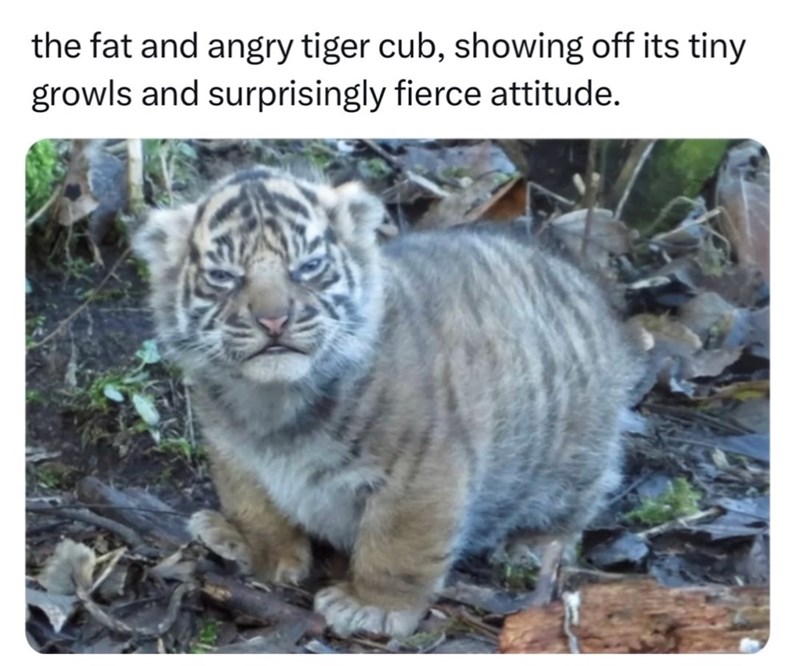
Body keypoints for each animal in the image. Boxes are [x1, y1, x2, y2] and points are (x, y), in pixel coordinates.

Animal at [133, 164, 644, 638]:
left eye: (308, 267)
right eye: (224, 276)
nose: (274, 320)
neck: (274, 403)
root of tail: (583, 285)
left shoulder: (421, 472)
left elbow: (398, 544)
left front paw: (373, 607)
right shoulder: (234, 455)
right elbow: (256, 509)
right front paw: (259, 551)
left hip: (574, 456)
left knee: (575, 508)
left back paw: (533, 547)